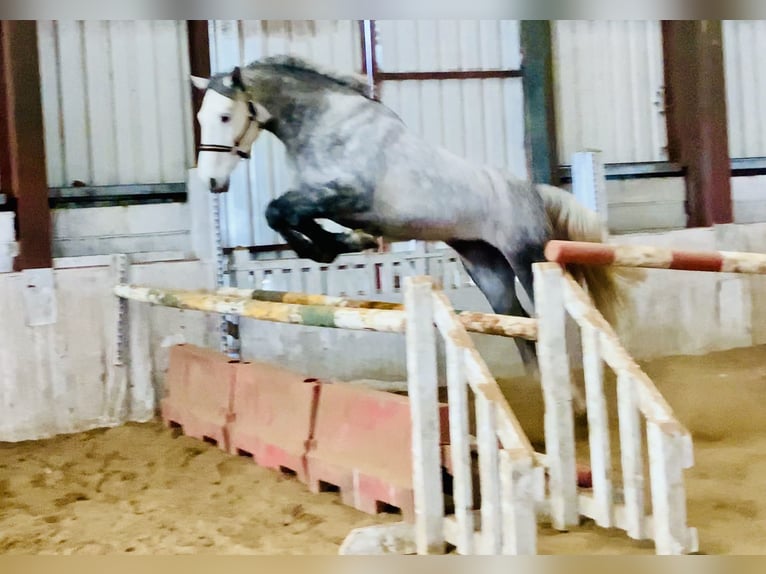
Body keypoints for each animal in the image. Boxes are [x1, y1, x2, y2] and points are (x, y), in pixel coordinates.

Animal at [190, 54, 628, 375]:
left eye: (225, 116)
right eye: (200, 119)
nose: (211, 180)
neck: (326, 125)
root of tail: (533, 191)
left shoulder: (349, 197)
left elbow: (279, 211)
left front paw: (334, 246)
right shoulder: (323, 200)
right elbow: (286, 215)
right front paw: (341, 245)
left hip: (526, 256)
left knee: (549, 320)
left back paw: (575, 403)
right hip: (485, 264)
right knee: (517, 320)